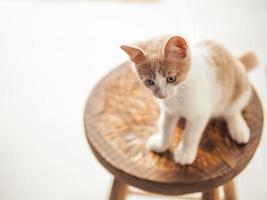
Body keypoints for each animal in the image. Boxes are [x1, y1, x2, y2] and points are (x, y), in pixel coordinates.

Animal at [121, 35, 258, 165]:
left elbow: (190, 135)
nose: (162, 95)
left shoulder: (200, 113)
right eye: (149, 82)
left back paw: (238, 128)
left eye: (171, 78)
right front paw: (162, 145)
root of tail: (235, 58)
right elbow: (166, 128)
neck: (179, 93)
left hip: (240, 83)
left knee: (233, 109)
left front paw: (185, 154)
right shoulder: (169, 110)